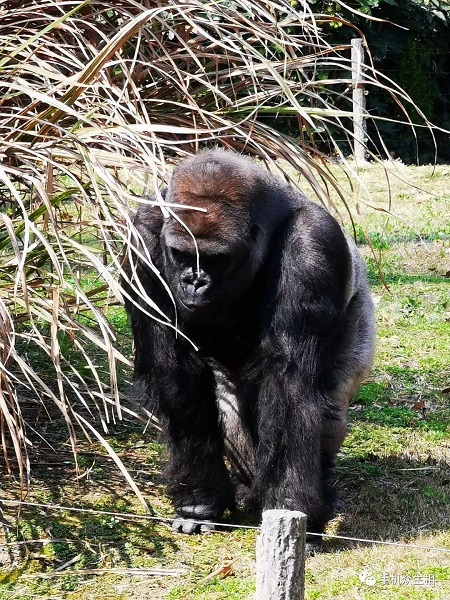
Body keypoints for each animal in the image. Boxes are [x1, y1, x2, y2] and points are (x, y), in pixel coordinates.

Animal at [120, 150, 376, 540]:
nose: (194, 281)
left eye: (216, 258)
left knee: (329, 404)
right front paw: (201, 500)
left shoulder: (312, 245)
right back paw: (246, 486)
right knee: (227, 402)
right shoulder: (143, 235)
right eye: (182, 254)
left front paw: (290, 505)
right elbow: (176, 373)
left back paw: (316, 494)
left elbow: (288, 382)